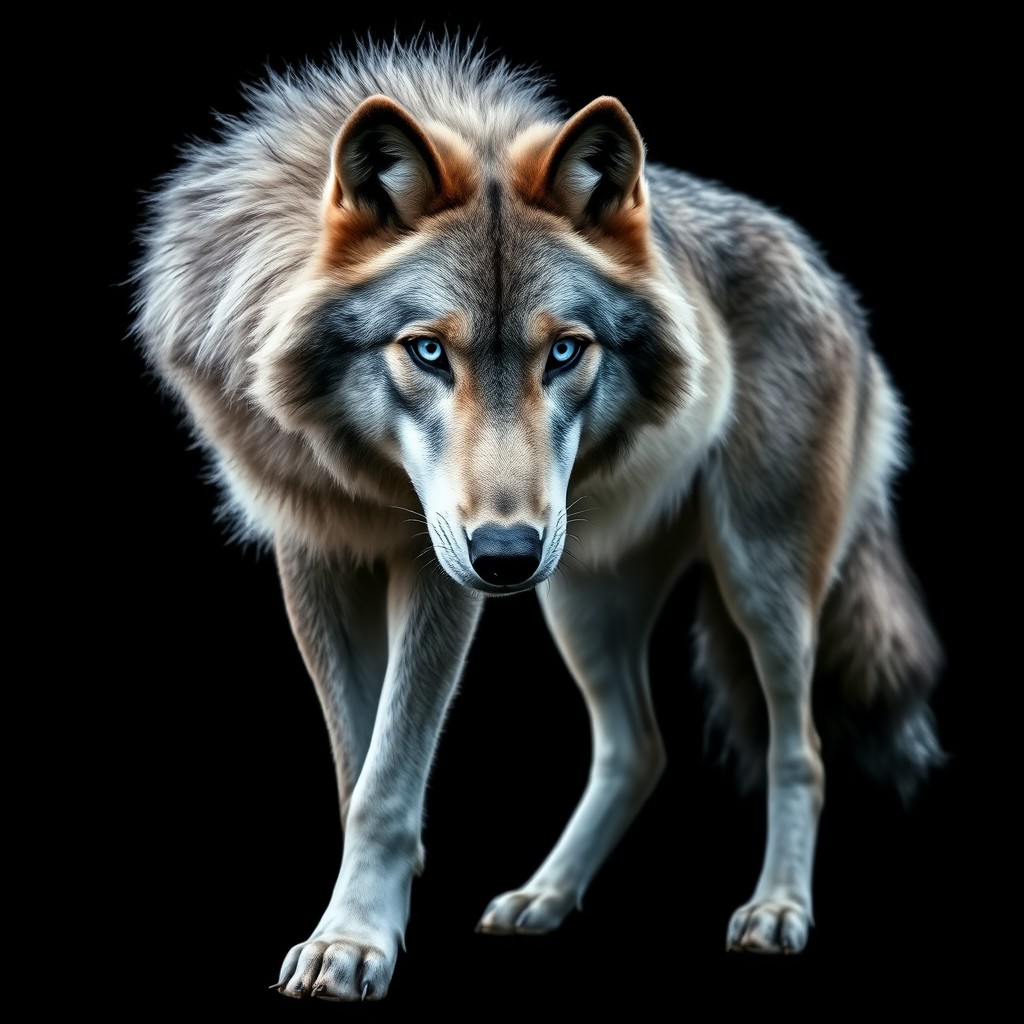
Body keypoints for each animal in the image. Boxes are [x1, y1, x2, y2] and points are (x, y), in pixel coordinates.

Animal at [131, 35, 943, 1000]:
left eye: (563, 352)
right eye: (427, 351)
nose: (506, 555)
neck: (364, 473)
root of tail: (825, 272)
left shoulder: (437, 572)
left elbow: (387, 778)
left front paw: (354, 943)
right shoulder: (315, 555)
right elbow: (357, 769)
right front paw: (364, 917)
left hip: (755, 582)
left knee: (802, 747)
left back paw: (777, 909)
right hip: (581, 597)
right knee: (638, 749)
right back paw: (543, 898)